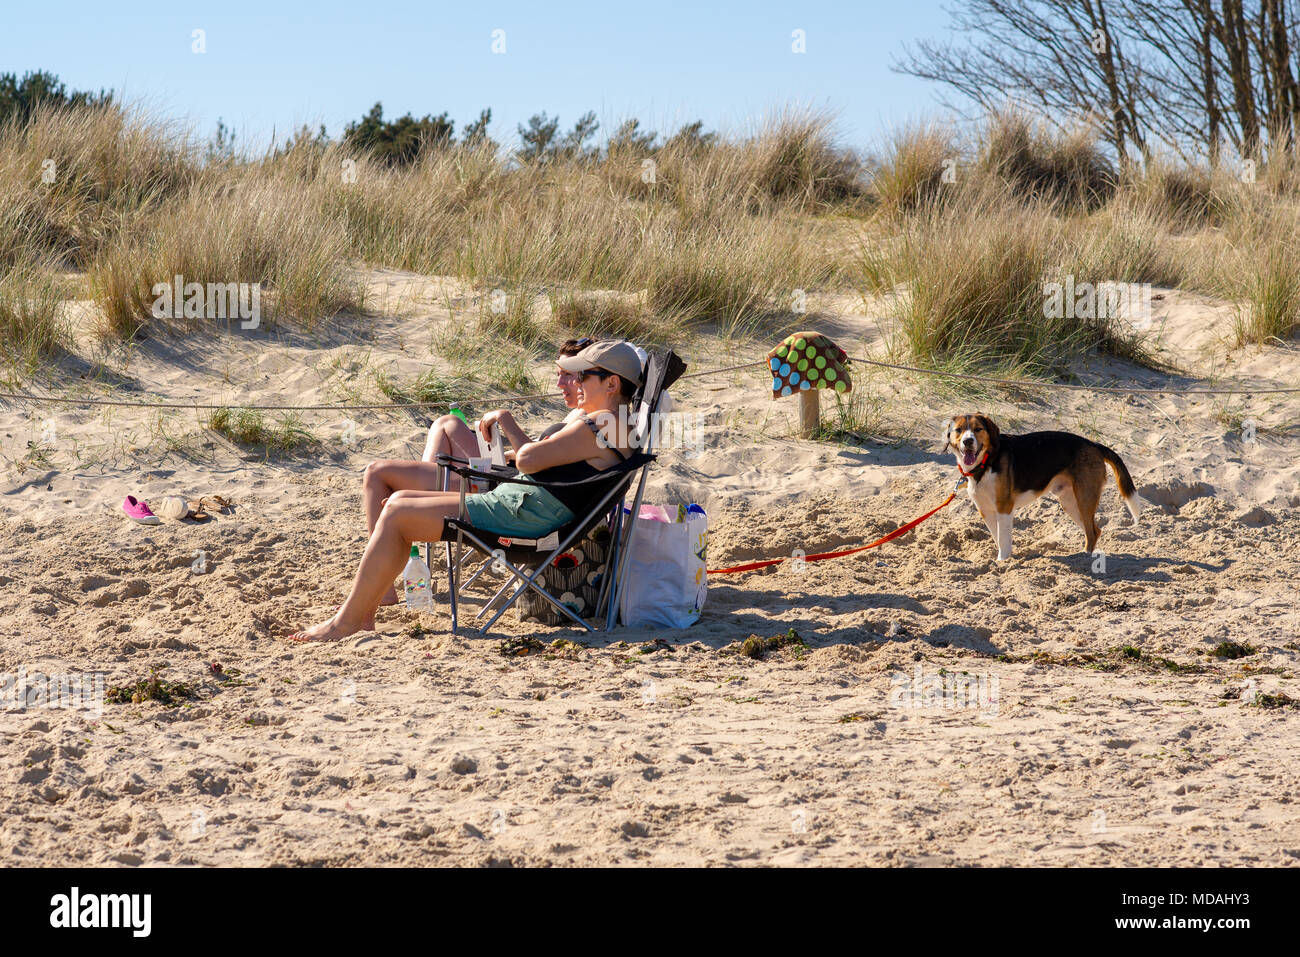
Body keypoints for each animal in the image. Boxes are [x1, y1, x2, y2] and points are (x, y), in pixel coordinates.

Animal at [946, 413, 1138, 561]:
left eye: (978, 429)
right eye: (959, 430)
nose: (968, 441)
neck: (986, 463)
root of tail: (1094, 445)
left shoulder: (1004, 509)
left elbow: (1003, 539)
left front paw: (1002, 561)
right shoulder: (985, 510)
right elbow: (998, 537)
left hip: (1084, 500)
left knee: (1092, 532)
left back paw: (1084, 558)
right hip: (1071, 503)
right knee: (1095, 530)